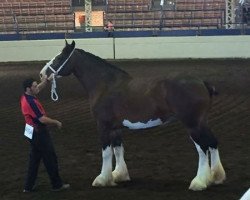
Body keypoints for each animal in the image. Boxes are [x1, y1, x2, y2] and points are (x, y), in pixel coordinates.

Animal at [40, 40, 226, 191]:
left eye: (59, 58)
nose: (42, 74)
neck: (105, 85)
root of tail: (202, 82)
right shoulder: (115, 128)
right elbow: (118, 149)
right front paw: (119, 175)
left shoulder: (103, 126)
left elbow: (106, 152)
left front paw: (102, 179)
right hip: (202, 122)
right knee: (213, 143)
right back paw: (216, 178)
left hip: (192, 124)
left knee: (203, 148)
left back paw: (199, 182)